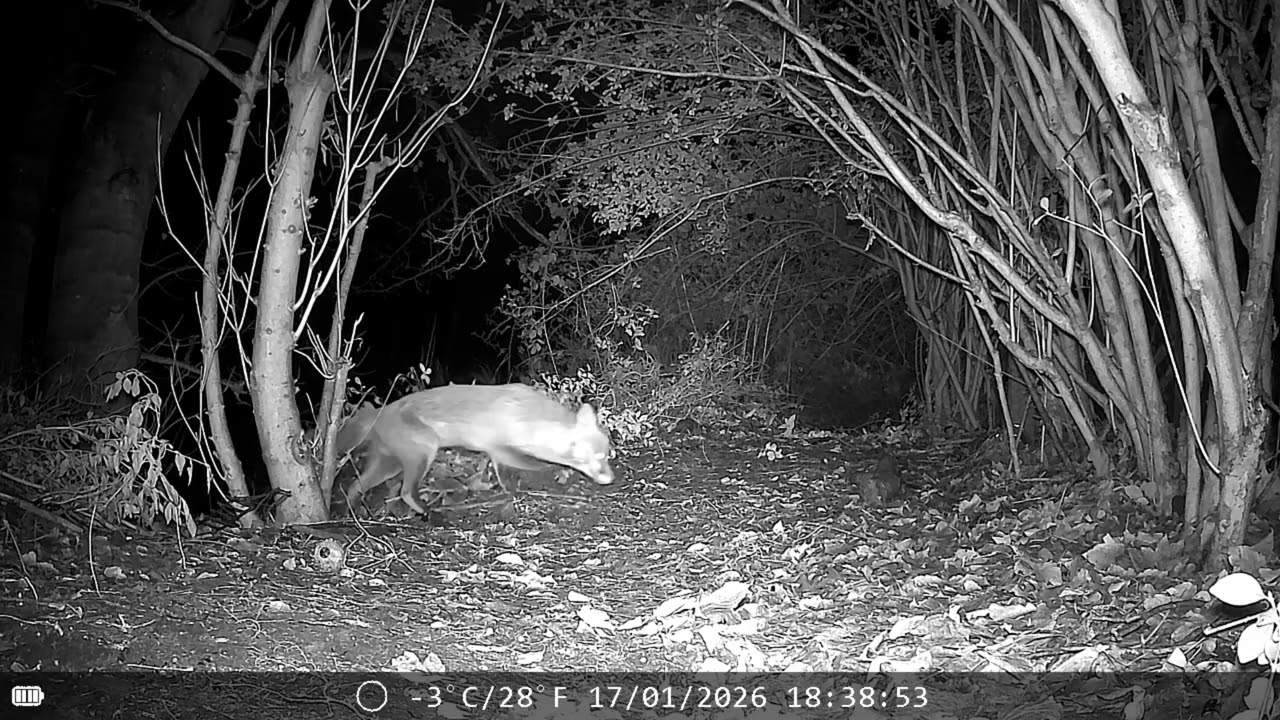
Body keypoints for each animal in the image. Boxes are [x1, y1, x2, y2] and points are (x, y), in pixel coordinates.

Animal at [336, 383, 614, 516]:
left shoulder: (496, 453)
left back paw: (353, 512)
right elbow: (538, 466)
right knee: (405, 492)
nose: (611, 478)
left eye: (609, 455)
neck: (527, 415)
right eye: (599, 457)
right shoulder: (500, 448)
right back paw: (427, 512)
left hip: (389, 465)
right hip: (424, 451)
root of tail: (379, 412)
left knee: (355, 486)